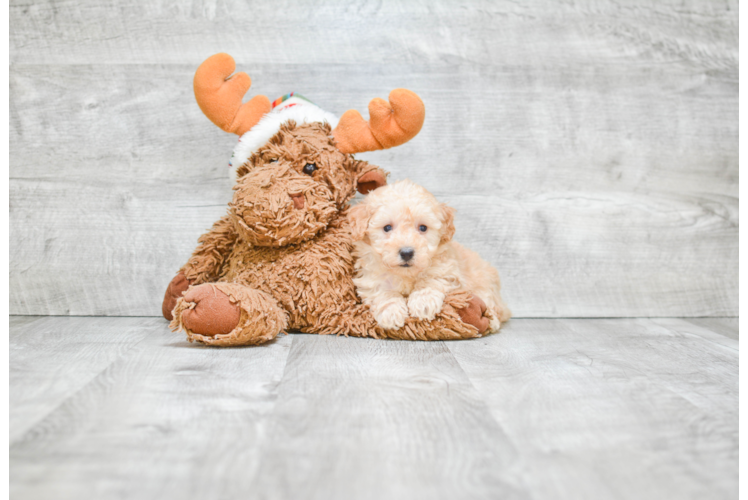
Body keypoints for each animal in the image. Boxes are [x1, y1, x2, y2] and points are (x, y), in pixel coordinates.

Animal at [348, 180, 512, 332]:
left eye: (423, 228)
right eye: (387, 228)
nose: (406, 253)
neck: (406, 274)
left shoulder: (446, 269)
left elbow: (431, 280)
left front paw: (423, 303)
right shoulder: (372, 277)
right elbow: (383, 292)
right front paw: (391, 312)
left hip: (486, 286)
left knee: (493, 308)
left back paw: (491, 321)